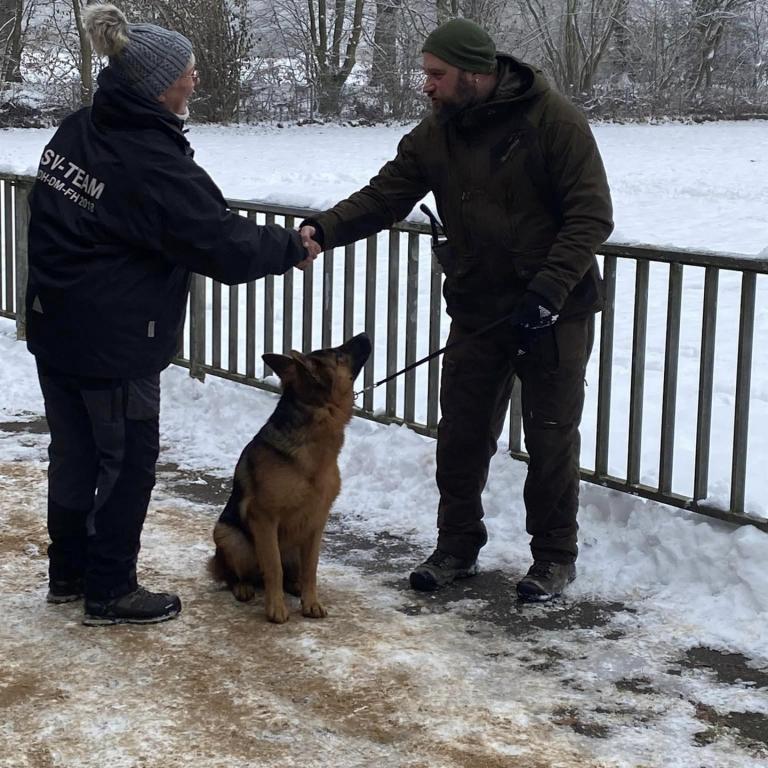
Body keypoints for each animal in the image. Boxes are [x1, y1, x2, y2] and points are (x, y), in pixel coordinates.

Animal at [208, 332, 371, 623]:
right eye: (339, 354)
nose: (365, 334)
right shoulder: (264, 518)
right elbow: (273, 567)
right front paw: (276, 608)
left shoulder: (316, 523)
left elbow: (311, 569)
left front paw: (311, 602)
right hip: (229, 536)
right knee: (236, 574)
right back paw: (243, 586)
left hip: (295, 544)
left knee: (293, 572)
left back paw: (294, 586)